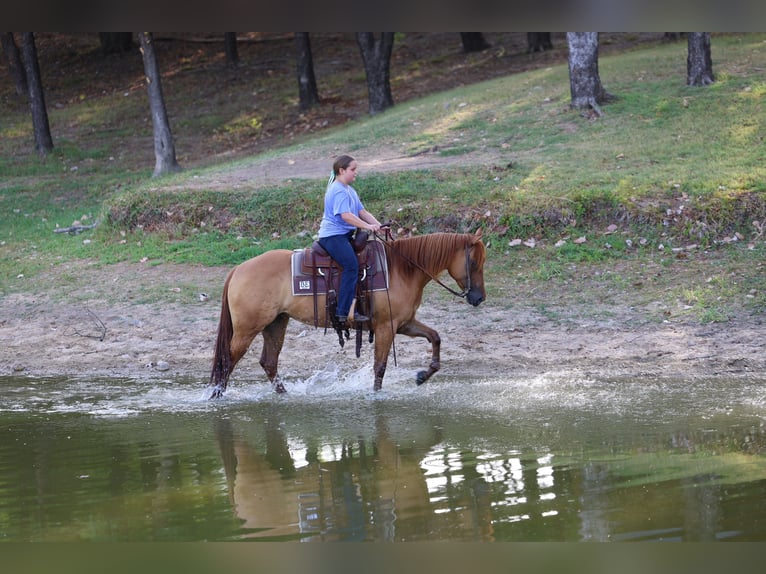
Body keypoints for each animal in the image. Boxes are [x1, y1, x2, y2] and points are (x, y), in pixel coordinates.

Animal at [207, 229, 486, 398]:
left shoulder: (404, 323)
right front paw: (377, 397)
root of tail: (238, 269)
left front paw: (422, 376)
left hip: (275, 324)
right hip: (247, 330)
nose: (479, 298)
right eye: (474, 263)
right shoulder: (386, 326)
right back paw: (215, 398)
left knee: (269, 362)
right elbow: (380, 367)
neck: (402, 269)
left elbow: (435, 337)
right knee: (227, 362)